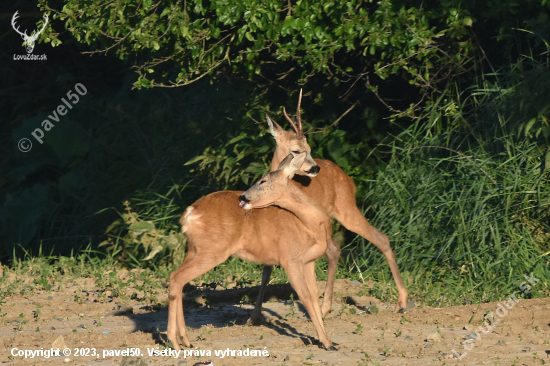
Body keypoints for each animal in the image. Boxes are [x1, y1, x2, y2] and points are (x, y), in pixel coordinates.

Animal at [168, 153, 338, 350]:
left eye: (263, 181)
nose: (243, 196)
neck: (312, 225)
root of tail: (188, 213)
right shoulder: (290, 258)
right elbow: (306, 297)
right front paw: (327, 342)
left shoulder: (308, 261)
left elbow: (314, 297)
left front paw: (324, 339)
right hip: (212, 250)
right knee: (177, 277)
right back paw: (175, 342)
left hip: (194, 250)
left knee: (178, 279)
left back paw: (186, 341)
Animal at [250, 90, 410, 324]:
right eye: (296, 150)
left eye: (309, 149)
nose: (314, 168)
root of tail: (348, 179)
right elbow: (266, 270)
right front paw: (254, 315)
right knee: (340, 249)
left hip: (346, 211)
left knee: (377, 238)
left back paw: (401, 302)